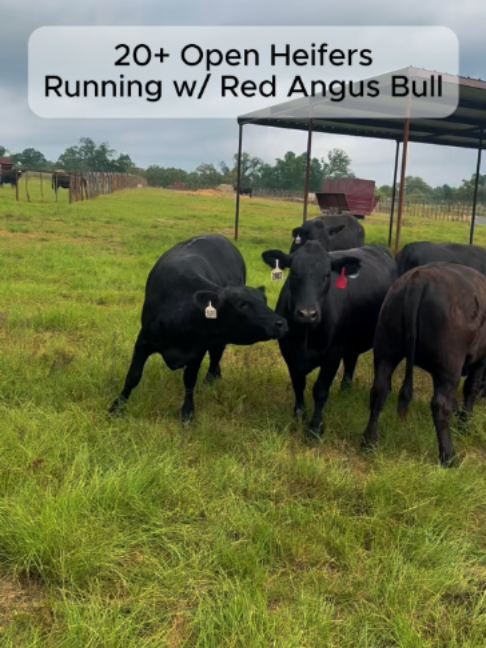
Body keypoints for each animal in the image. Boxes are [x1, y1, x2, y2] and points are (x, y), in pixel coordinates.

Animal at [110, 234, 288, 423]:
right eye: (242, 304)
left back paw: (212, 378)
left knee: (216, 355)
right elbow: (133, 376)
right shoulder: (143, 341)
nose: (281, 322)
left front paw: (188, 412)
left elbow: (189, 380)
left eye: (264, 300)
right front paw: (117, 406)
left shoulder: (198, 349)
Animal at [261, 242, 397, 440]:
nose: (307, 313)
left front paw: (315, 428)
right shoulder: (288, 351)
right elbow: (298, 384)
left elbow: (320, 390)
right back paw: (345, 391)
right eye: (294, 273)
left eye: (326, 275)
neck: (306, 336)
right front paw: (299, 417)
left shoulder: (333, 354)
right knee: (351, 361)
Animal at [361, 262, 486, 467]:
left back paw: (369, 441)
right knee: (440, 406)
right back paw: (449, 457)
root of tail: (419, 278)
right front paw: (464, 426)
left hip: (386, 349)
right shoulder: (479, 360)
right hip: (449, 364)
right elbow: (470, 390)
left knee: (379, 391)